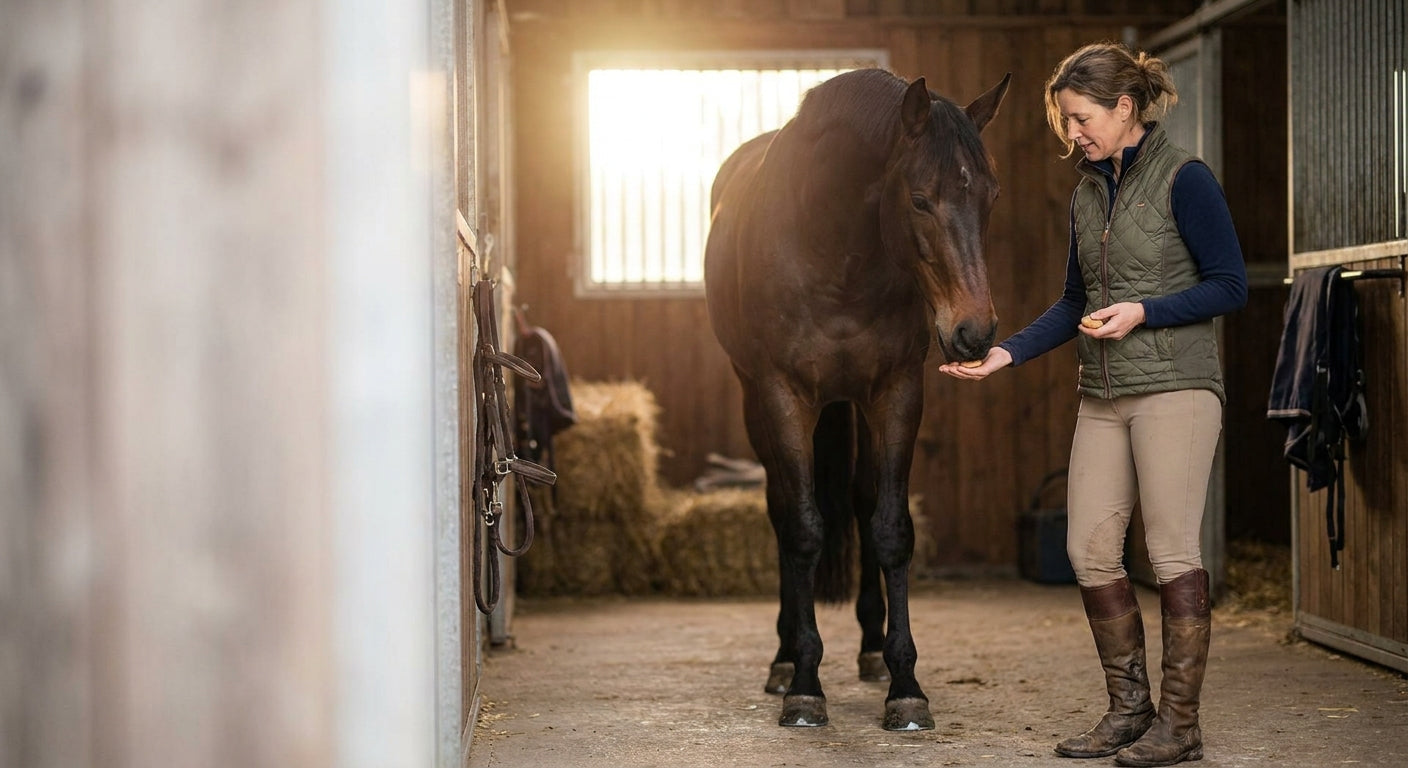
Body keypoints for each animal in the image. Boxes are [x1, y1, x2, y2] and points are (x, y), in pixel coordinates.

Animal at [703, 68, 1009, 730]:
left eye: (991, 197)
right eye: (919, 199)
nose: (974, 333)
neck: (832, 244)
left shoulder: (896, 392)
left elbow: (890, 526)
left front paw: (906, 686)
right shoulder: (782, 394)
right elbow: (803, 527)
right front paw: (804, 685)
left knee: (866, 500)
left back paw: (871, 650)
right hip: (757, 402)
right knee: (781, 507)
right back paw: (784, 658)